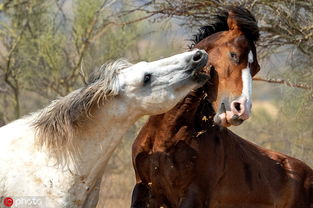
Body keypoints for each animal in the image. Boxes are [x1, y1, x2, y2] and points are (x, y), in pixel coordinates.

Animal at [130, 6, 312, 208]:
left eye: (256, 68)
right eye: (233, 55)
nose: (241, 109)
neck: (168, 134)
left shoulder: (193, 195)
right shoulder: (143, 189)